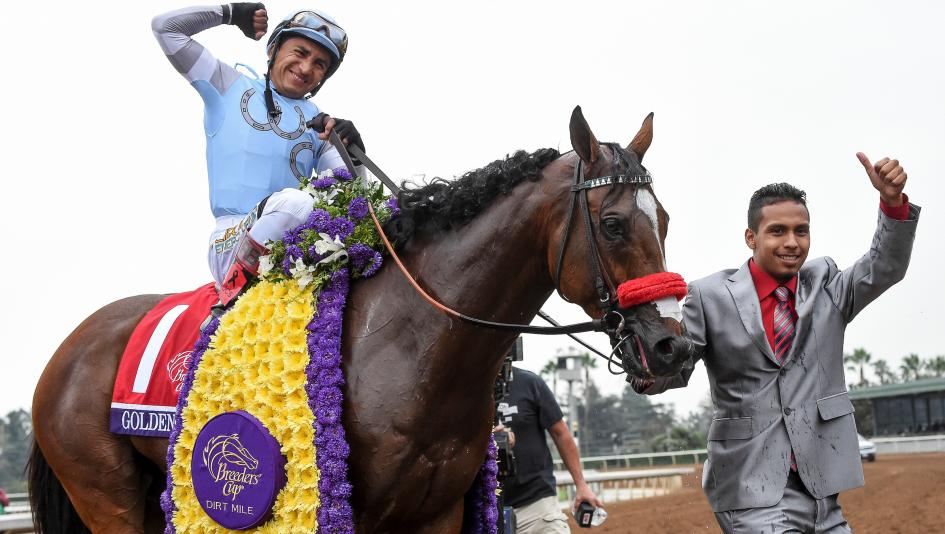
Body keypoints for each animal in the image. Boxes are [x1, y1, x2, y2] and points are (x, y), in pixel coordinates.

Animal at [29, 107, 692, 533]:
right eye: (612, 223)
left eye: (663, 220)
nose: (673, 350)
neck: (415, 341)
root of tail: (67, 350)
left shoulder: (436, 513)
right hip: (105, 493)